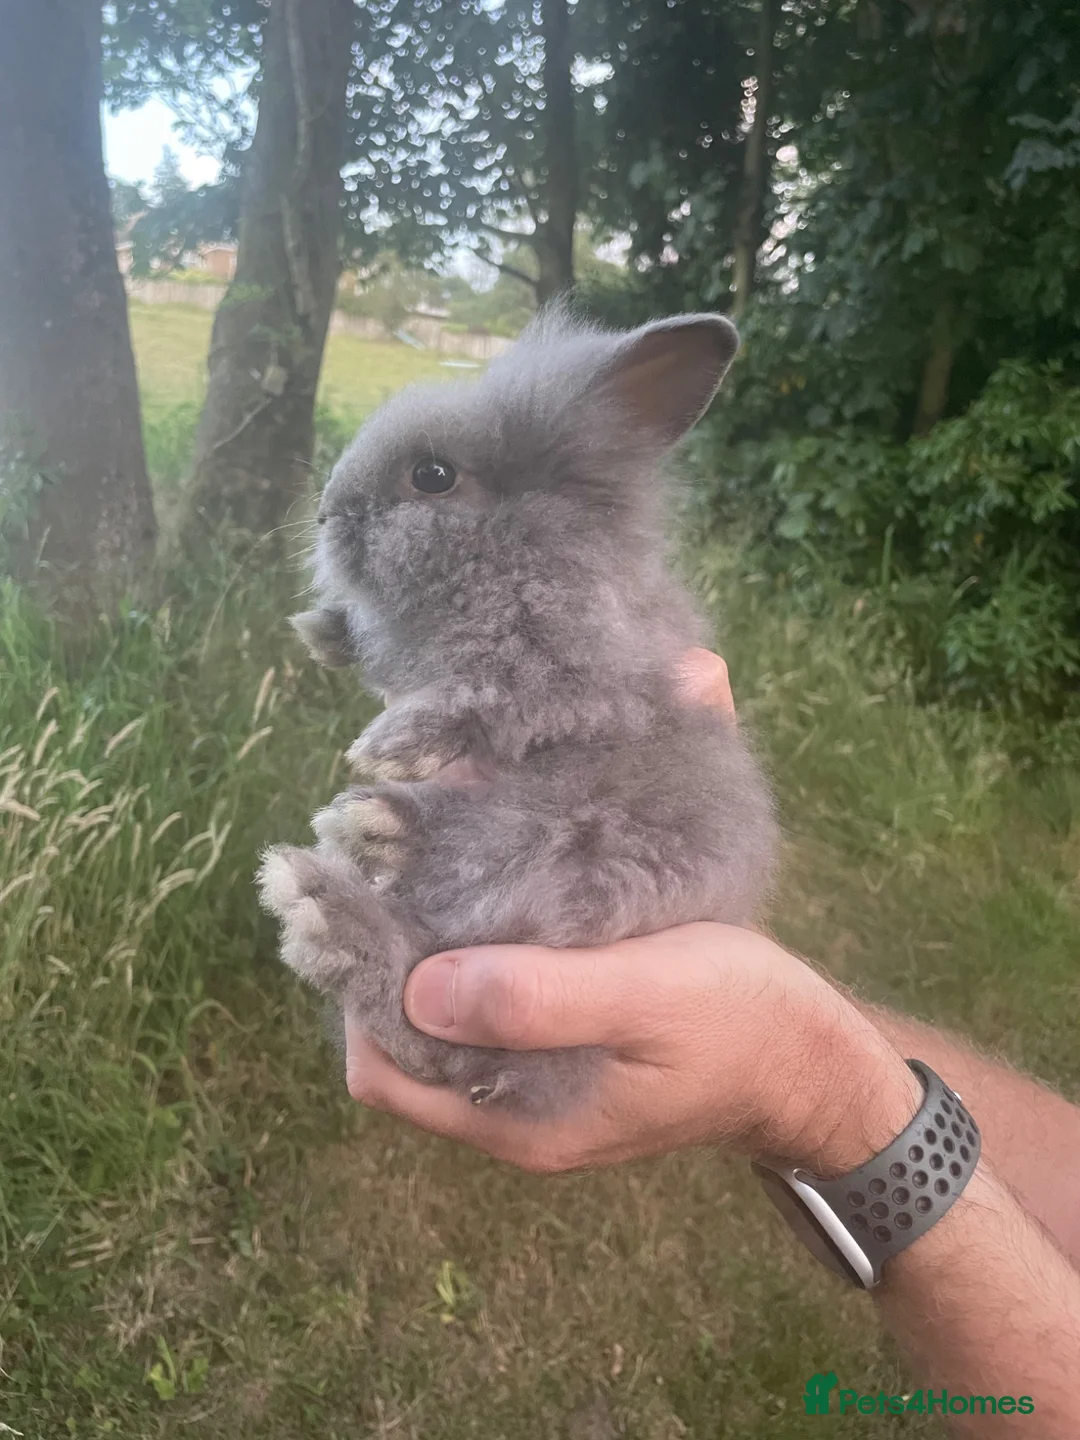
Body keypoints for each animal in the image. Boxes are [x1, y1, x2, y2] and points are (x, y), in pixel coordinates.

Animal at [257, 305, 779, 1118]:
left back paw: (350, 869)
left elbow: (488, 699)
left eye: (433, 475)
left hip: (586, 843)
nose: (325, 513)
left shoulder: (575, 675)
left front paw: (391, 744)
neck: (510, 548)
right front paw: (323, 631)